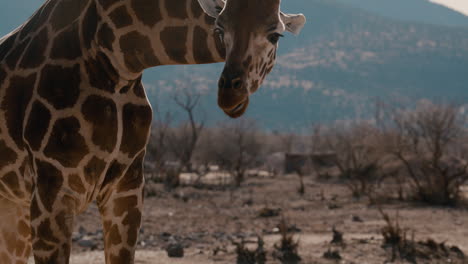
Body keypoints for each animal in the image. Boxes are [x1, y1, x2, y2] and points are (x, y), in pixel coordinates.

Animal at [0, 0, 308, 262]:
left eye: (275, 35)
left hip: (14, 207)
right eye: (219, 29)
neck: (115, 62)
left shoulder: (127, 187)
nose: (229, 95)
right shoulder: (53, 191)